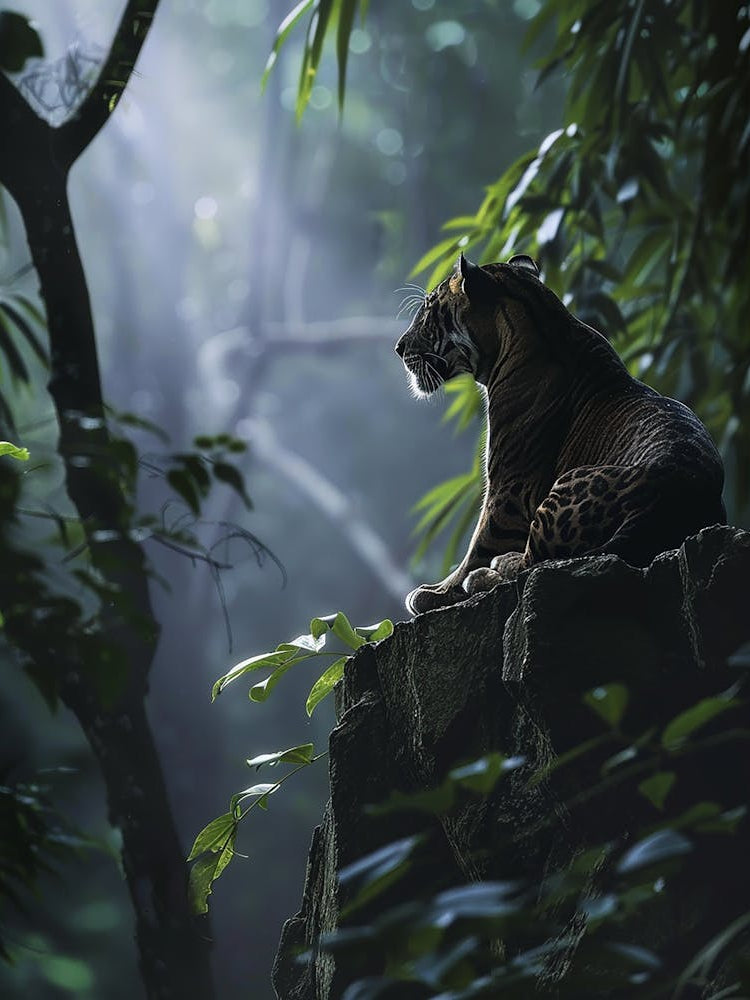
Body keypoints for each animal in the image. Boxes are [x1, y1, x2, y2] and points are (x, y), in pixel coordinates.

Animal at [395, 253, 726, 615]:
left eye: (428, 312)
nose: (399, 348)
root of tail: (673, 496)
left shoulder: (508, 489)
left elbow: (479, 545)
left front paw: (434, 592)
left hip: (566, 486)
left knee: (534, 563)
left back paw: (492, 570)